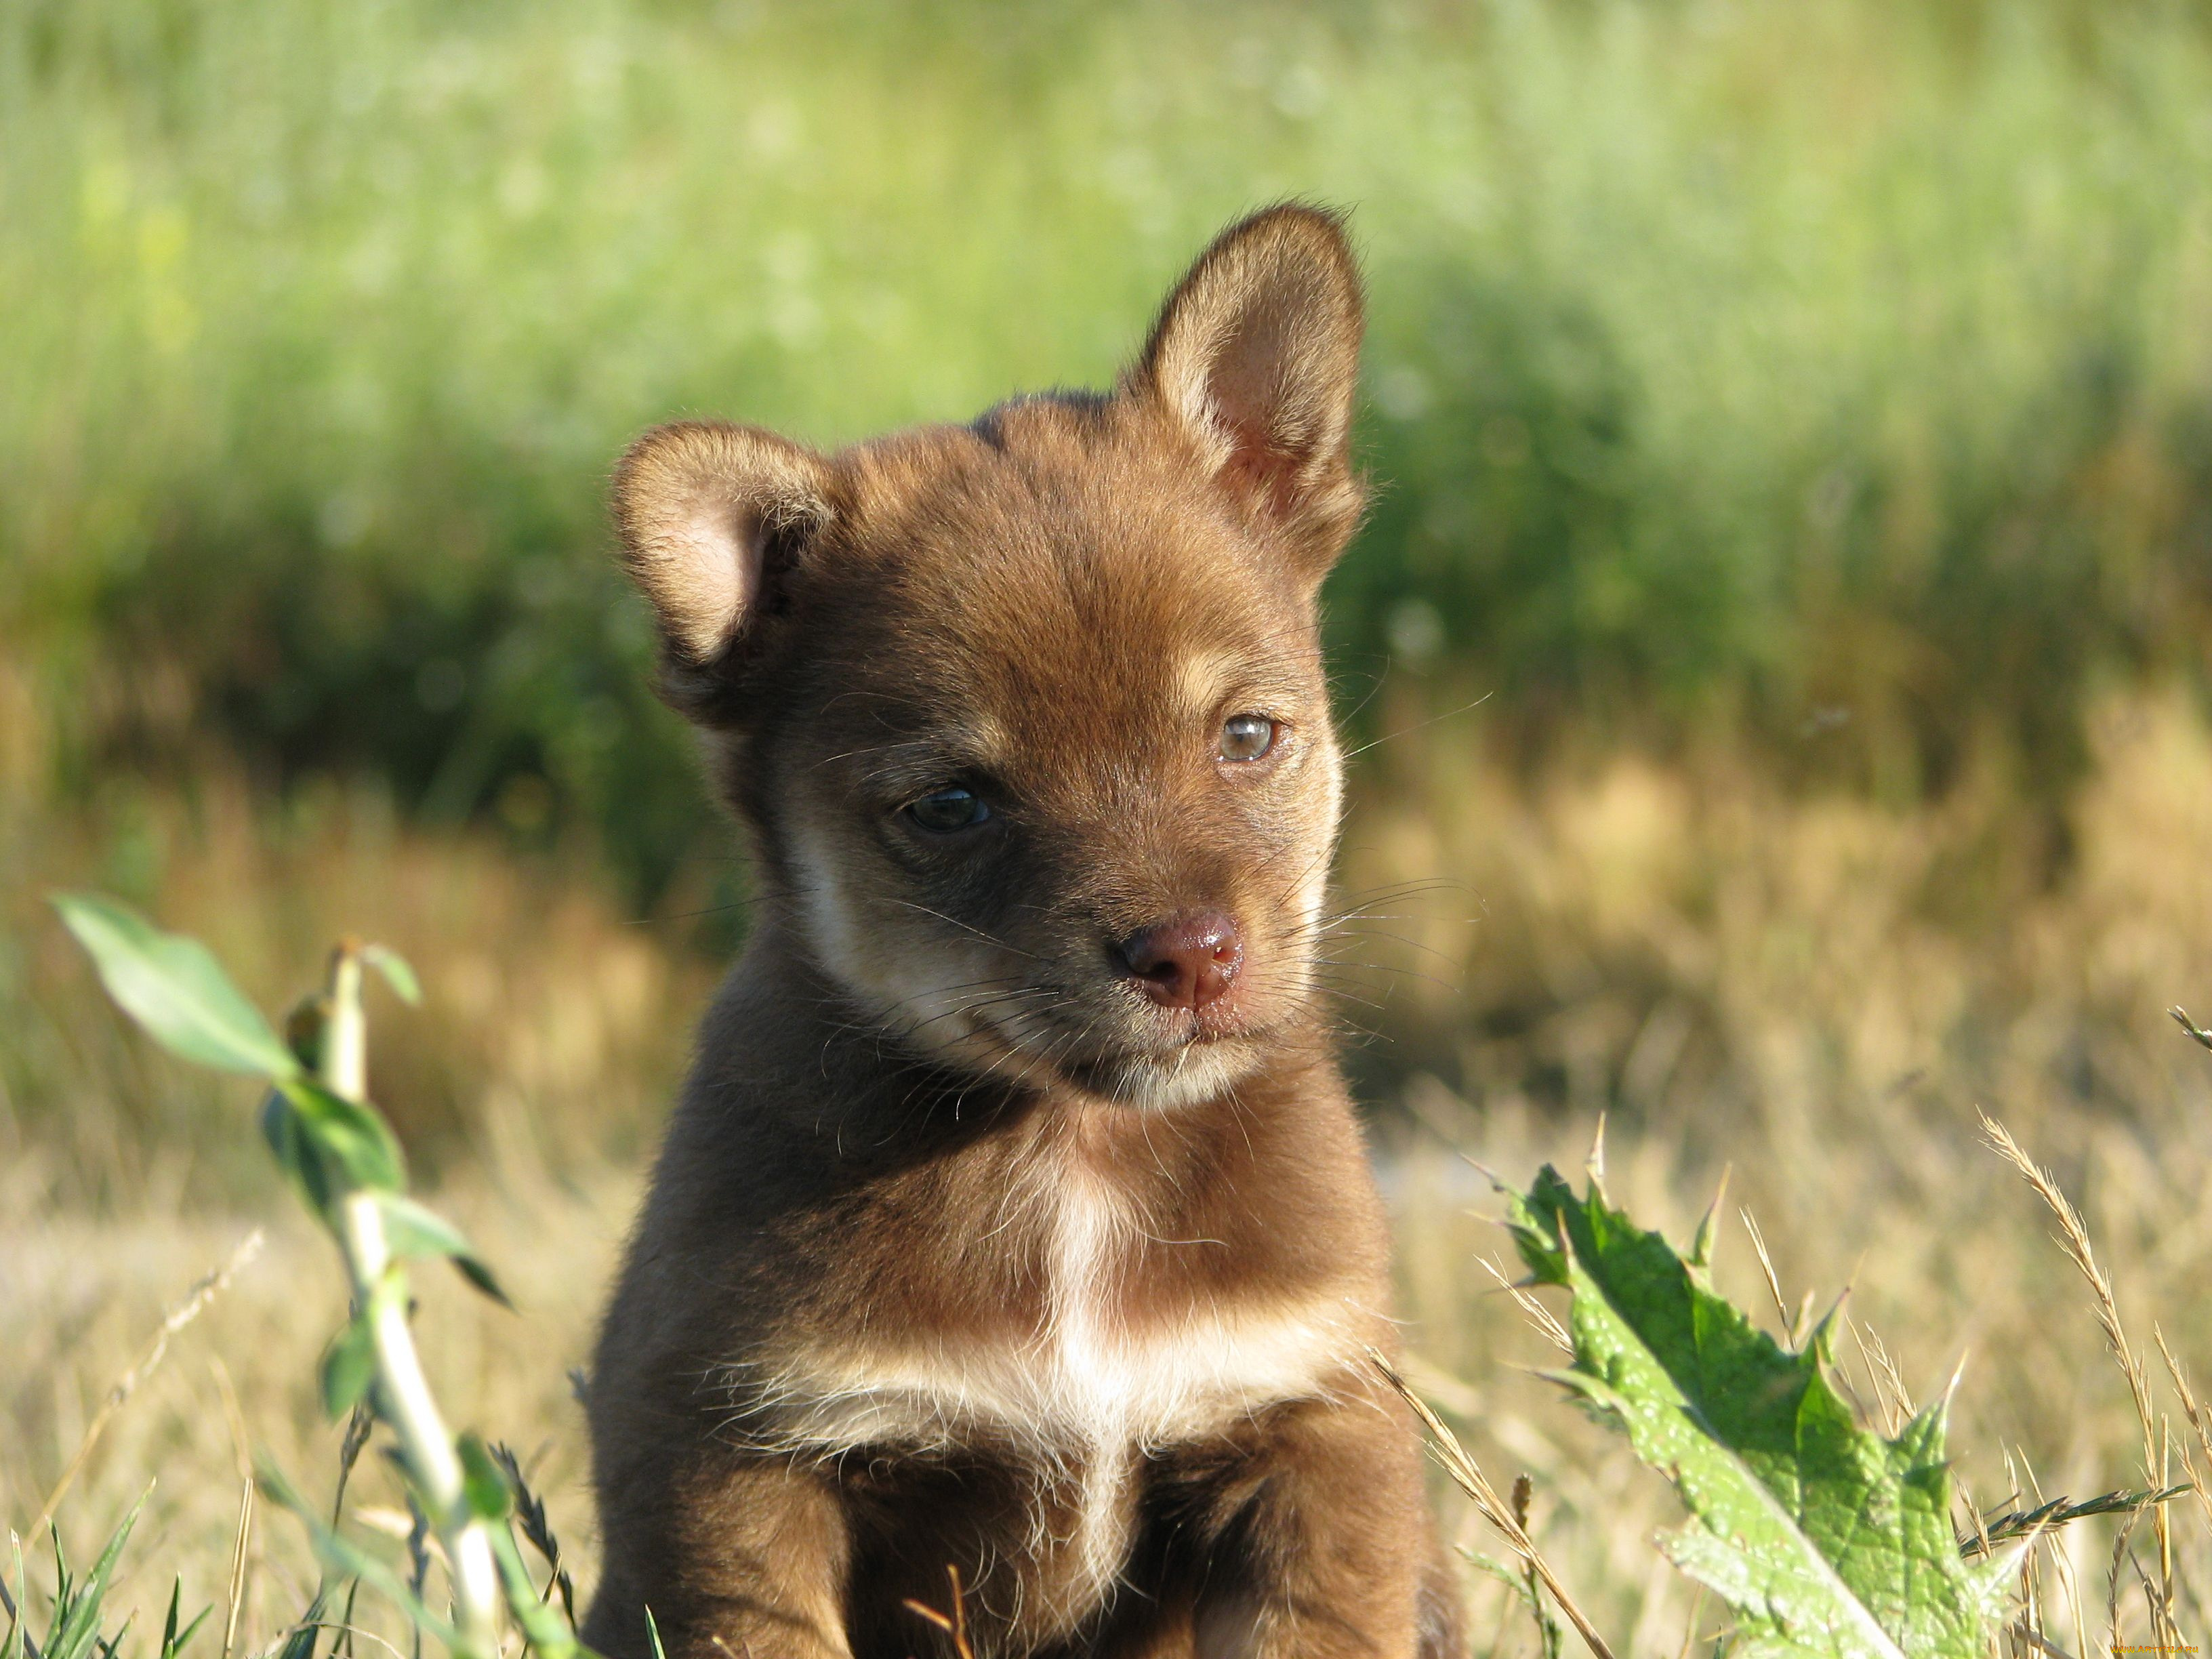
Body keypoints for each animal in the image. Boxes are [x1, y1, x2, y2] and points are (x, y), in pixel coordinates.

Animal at [579, 207, 1460, 1659]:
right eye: (951, 804)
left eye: (1245, 734)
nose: (1189, 954)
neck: (1069, 1157)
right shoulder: (732, 1458)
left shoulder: (1306, 1423)